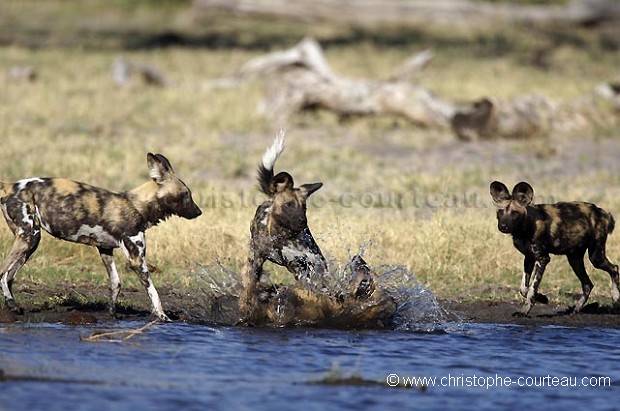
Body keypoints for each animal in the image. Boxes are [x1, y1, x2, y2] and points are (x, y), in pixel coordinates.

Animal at [0, 154, 201, 322]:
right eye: (186, 194)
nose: (199, 212)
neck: (138, 206)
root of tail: (10, 185)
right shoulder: (136, 260)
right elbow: (153, 291)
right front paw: (163, 316)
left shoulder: (105, 249)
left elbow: (116, 283)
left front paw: (112, 313)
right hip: (29, 236)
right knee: (3, 273)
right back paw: (11, 305)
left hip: (31, 242)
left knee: (9, 276)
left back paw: (12, 307)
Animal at [490, 181, 620, 318]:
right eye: (500, 211)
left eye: (515, 213)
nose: (503, 226)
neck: (524, 227)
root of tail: (602, 212)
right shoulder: (529, 258)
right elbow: (524, 288)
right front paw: (542, 298)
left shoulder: (542, 259)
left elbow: (532, 289)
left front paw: (524, 311)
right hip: (575, 260)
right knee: (587, 284)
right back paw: (575, 310)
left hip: (595, 258)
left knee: (614, 269)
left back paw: (616, 302)